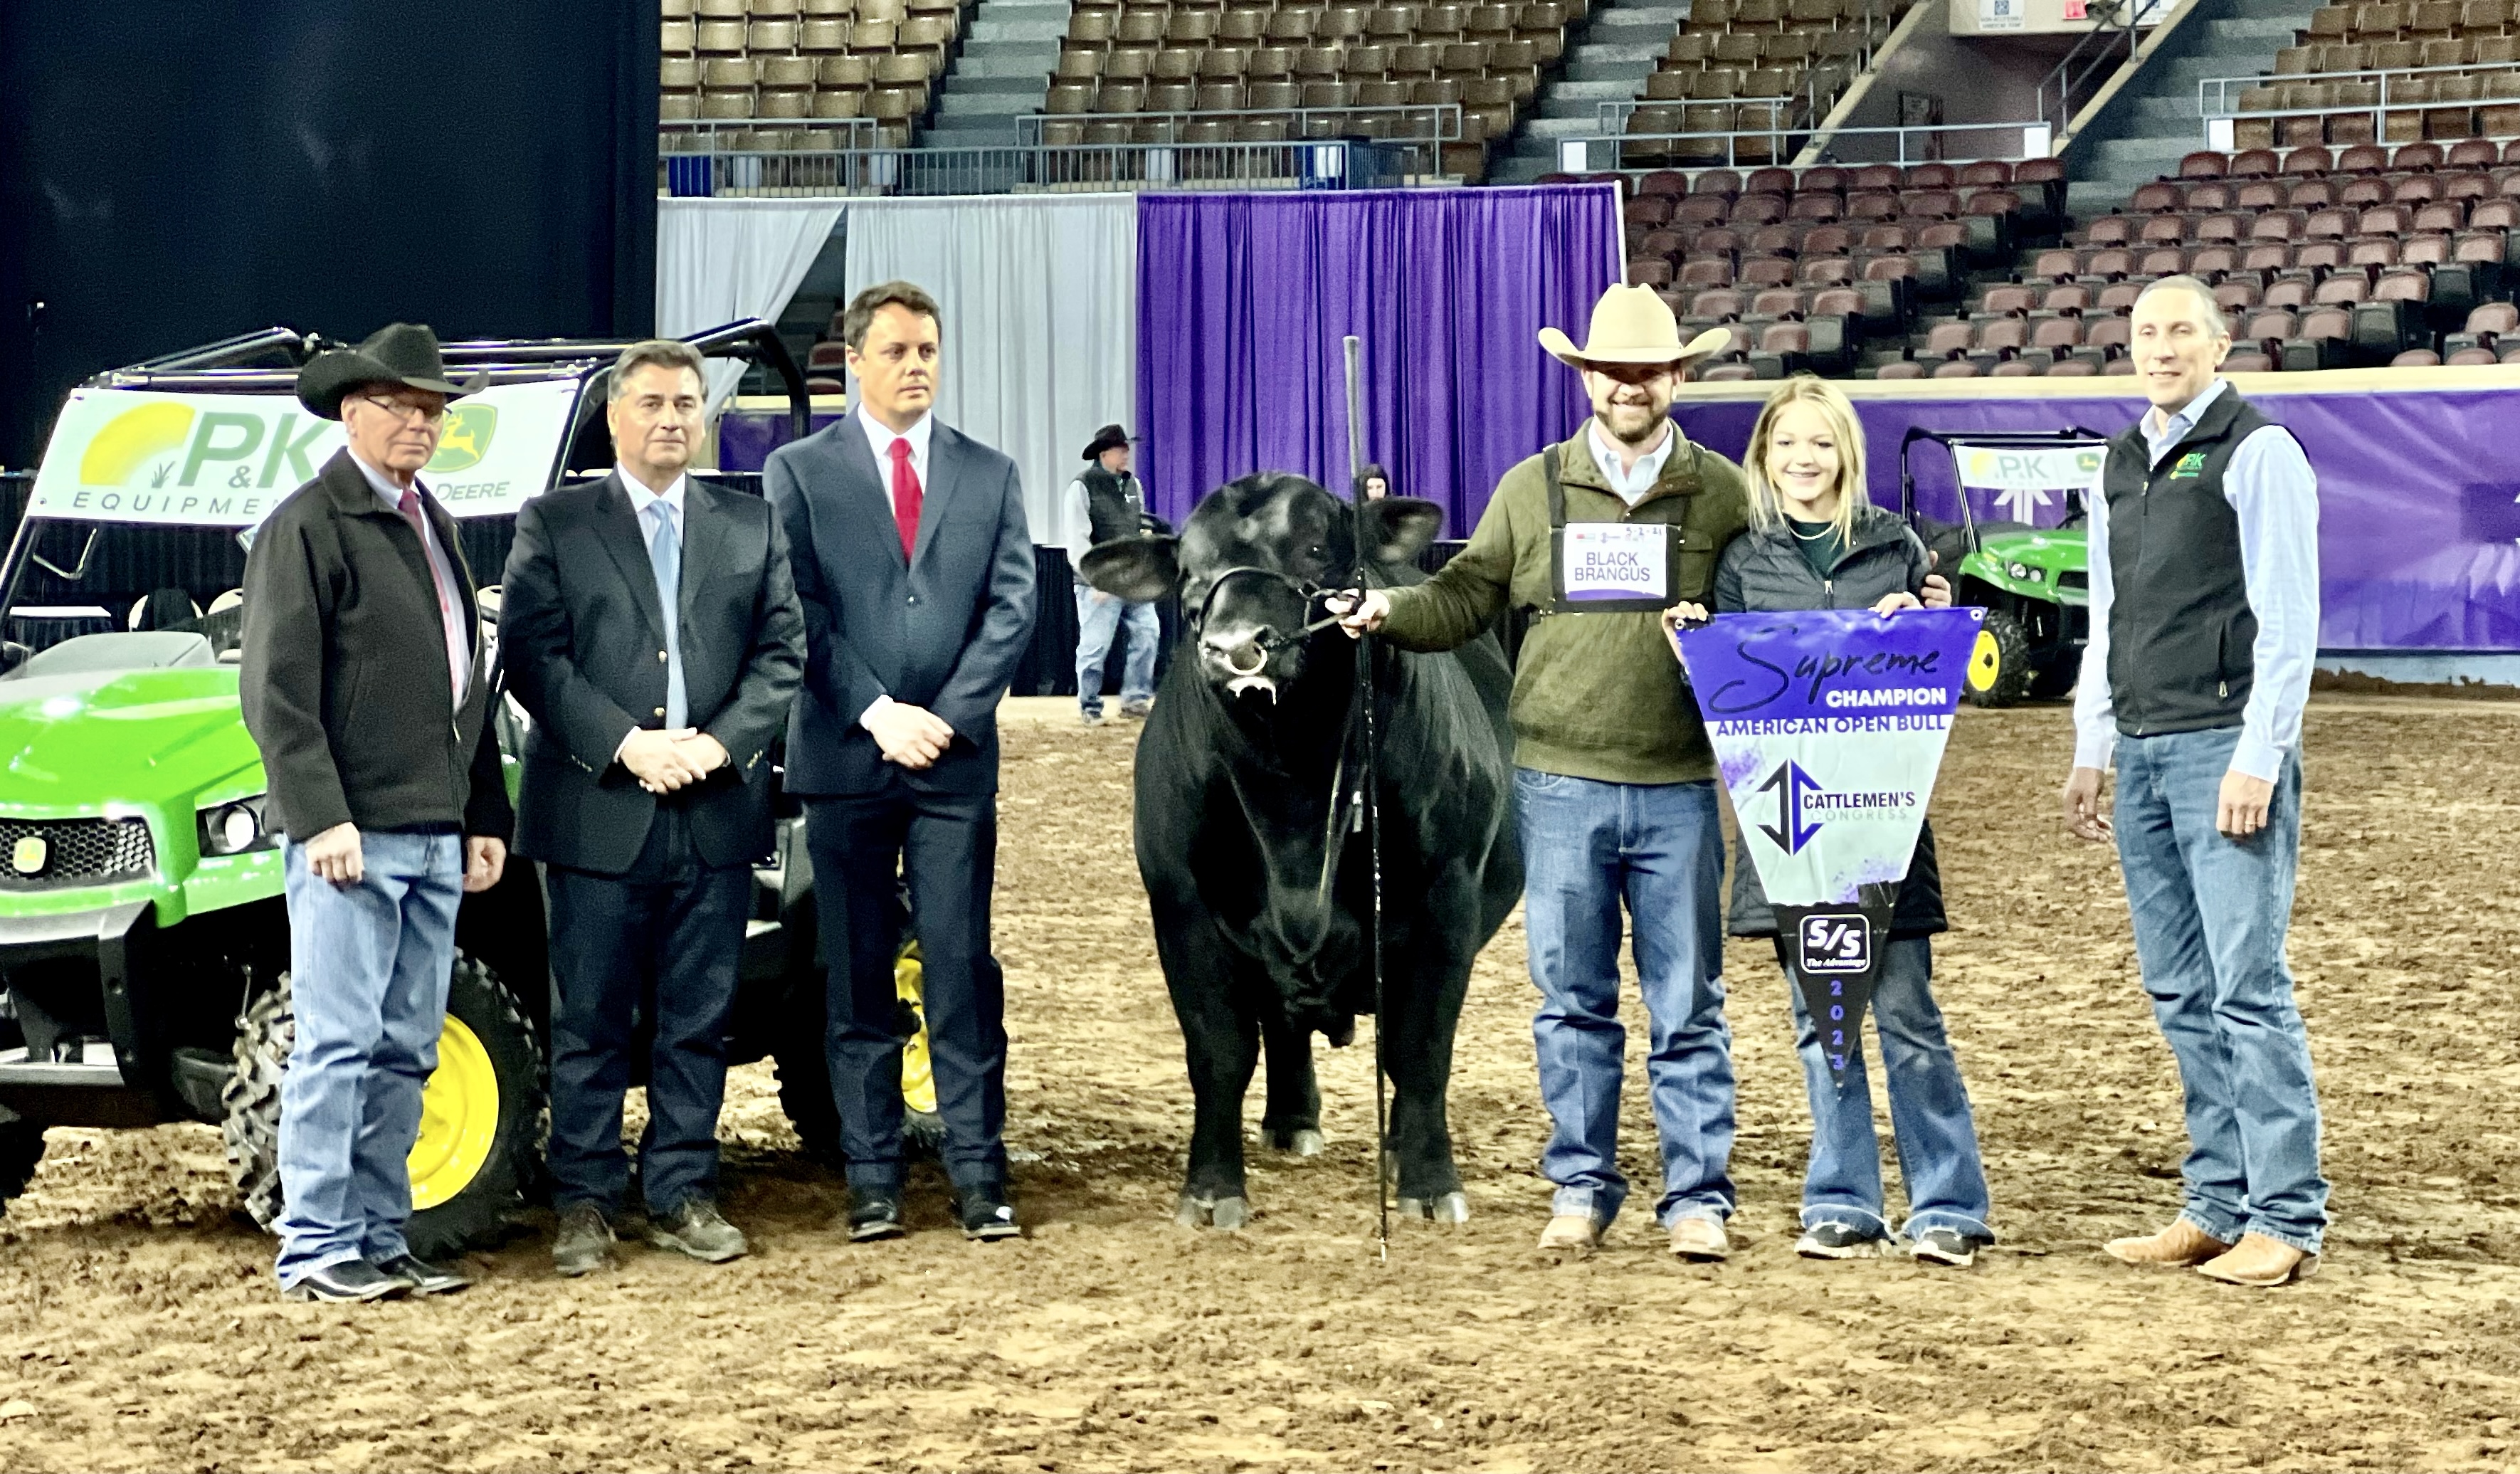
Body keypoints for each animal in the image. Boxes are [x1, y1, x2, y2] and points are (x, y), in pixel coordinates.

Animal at [1078, 473, 1512, 1229]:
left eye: (1314, 548)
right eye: (1188, 571)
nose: (1233, 645)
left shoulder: (1447, 902)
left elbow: (1420, 1049)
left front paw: (1430, 1183)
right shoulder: (1181, 907)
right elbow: (1219, 1052)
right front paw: (1211, 1189)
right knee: (1281, 1023)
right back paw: (1289, 1120)